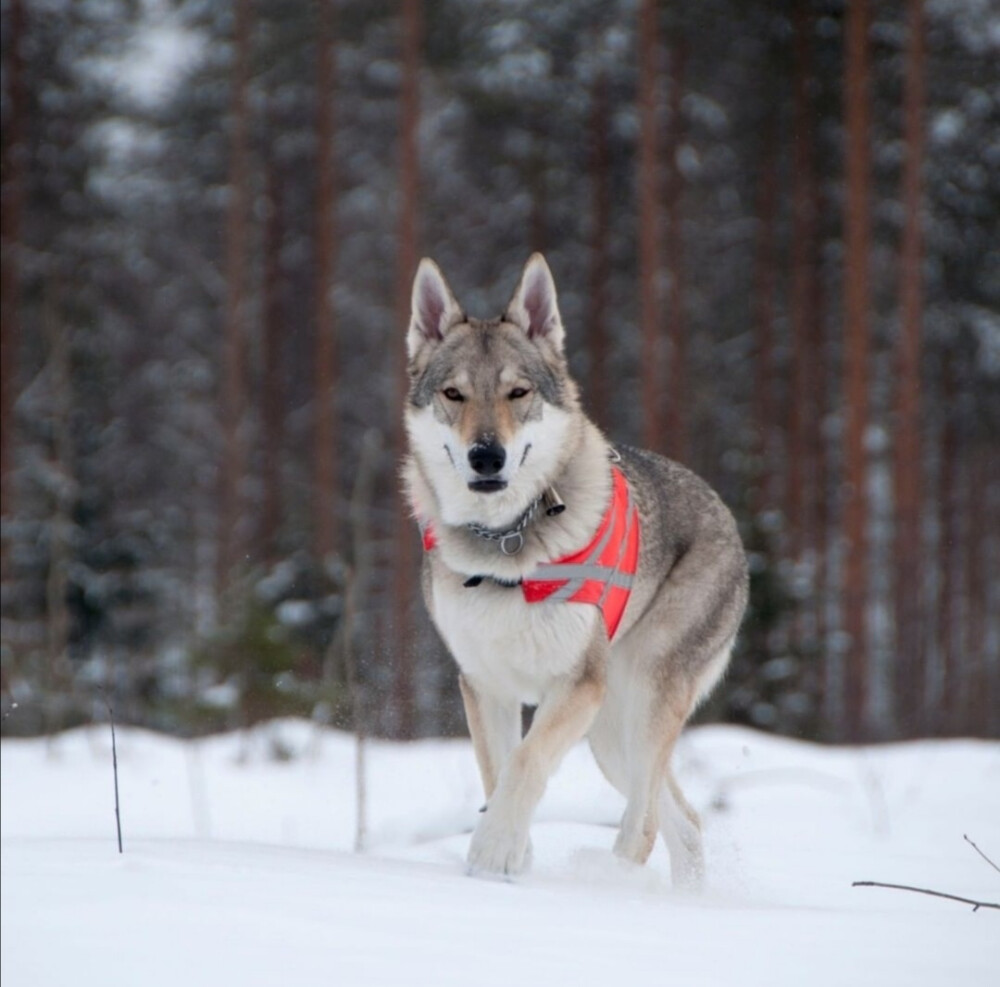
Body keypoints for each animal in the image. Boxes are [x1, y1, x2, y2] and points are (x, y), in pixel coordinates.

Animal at [402, 255, 748, 888]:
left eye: (518, 392)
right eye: (453, 394)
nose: (485, 456)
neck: (507, 541)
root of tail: (724, 512)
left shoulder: (576, 686)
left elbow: (526, 762)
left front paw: (495, 853)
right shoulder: (484, 686)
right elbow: (500, 771)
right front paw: (510, 858)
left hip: (639, 701)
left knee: (645, 825)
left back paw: (610, 881)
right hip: (611, 736)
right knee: (685, 821)